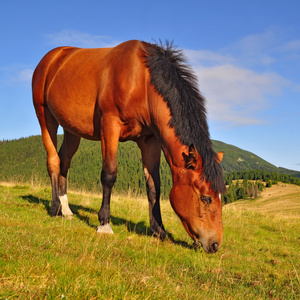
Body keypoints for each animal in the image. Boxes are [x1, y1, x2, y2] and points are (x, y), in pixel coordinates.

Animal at [32, 39, 225, 253]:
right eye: (206, 197)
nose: (215, 244)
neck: (142, 81)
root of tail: (52, 57)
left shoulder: (150, 141)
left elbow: (154, 186)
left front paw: (159, 230)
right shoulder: (110, 125)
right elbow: (109, 174)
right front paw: (104, 224)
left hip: (71, 129)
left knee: (64, 161)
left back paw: (66, 210)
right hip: (45, 116)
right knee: (53, 160)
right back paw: (55, 207)